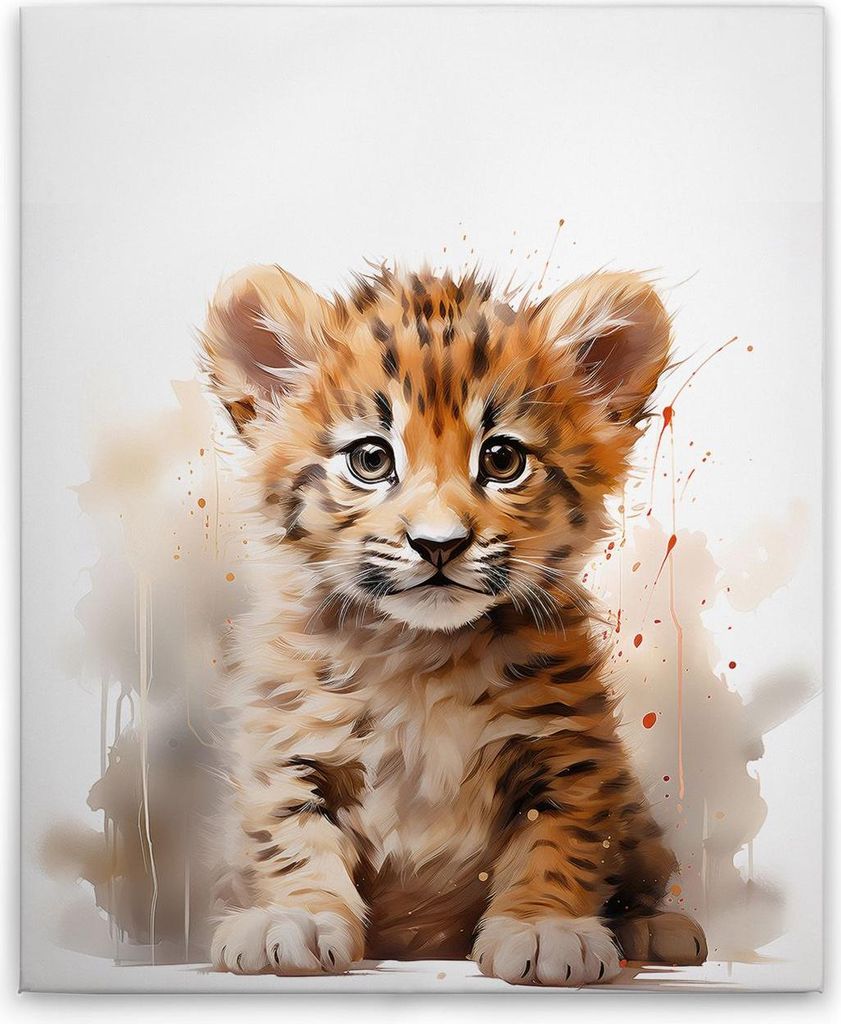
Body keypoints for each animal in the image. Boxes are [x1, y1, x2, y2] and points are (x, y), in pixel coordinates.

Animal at [200, 261, 707, 985]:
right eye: (371, 459)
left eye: (501, 460)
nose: (438, 545)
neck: (421, 659)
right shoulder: (287, 746)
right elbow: (288, 834)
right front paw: (295, 916)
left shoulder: (569, 753)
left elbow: (562, 841)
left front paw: (544, 928)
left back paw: (655, 928)